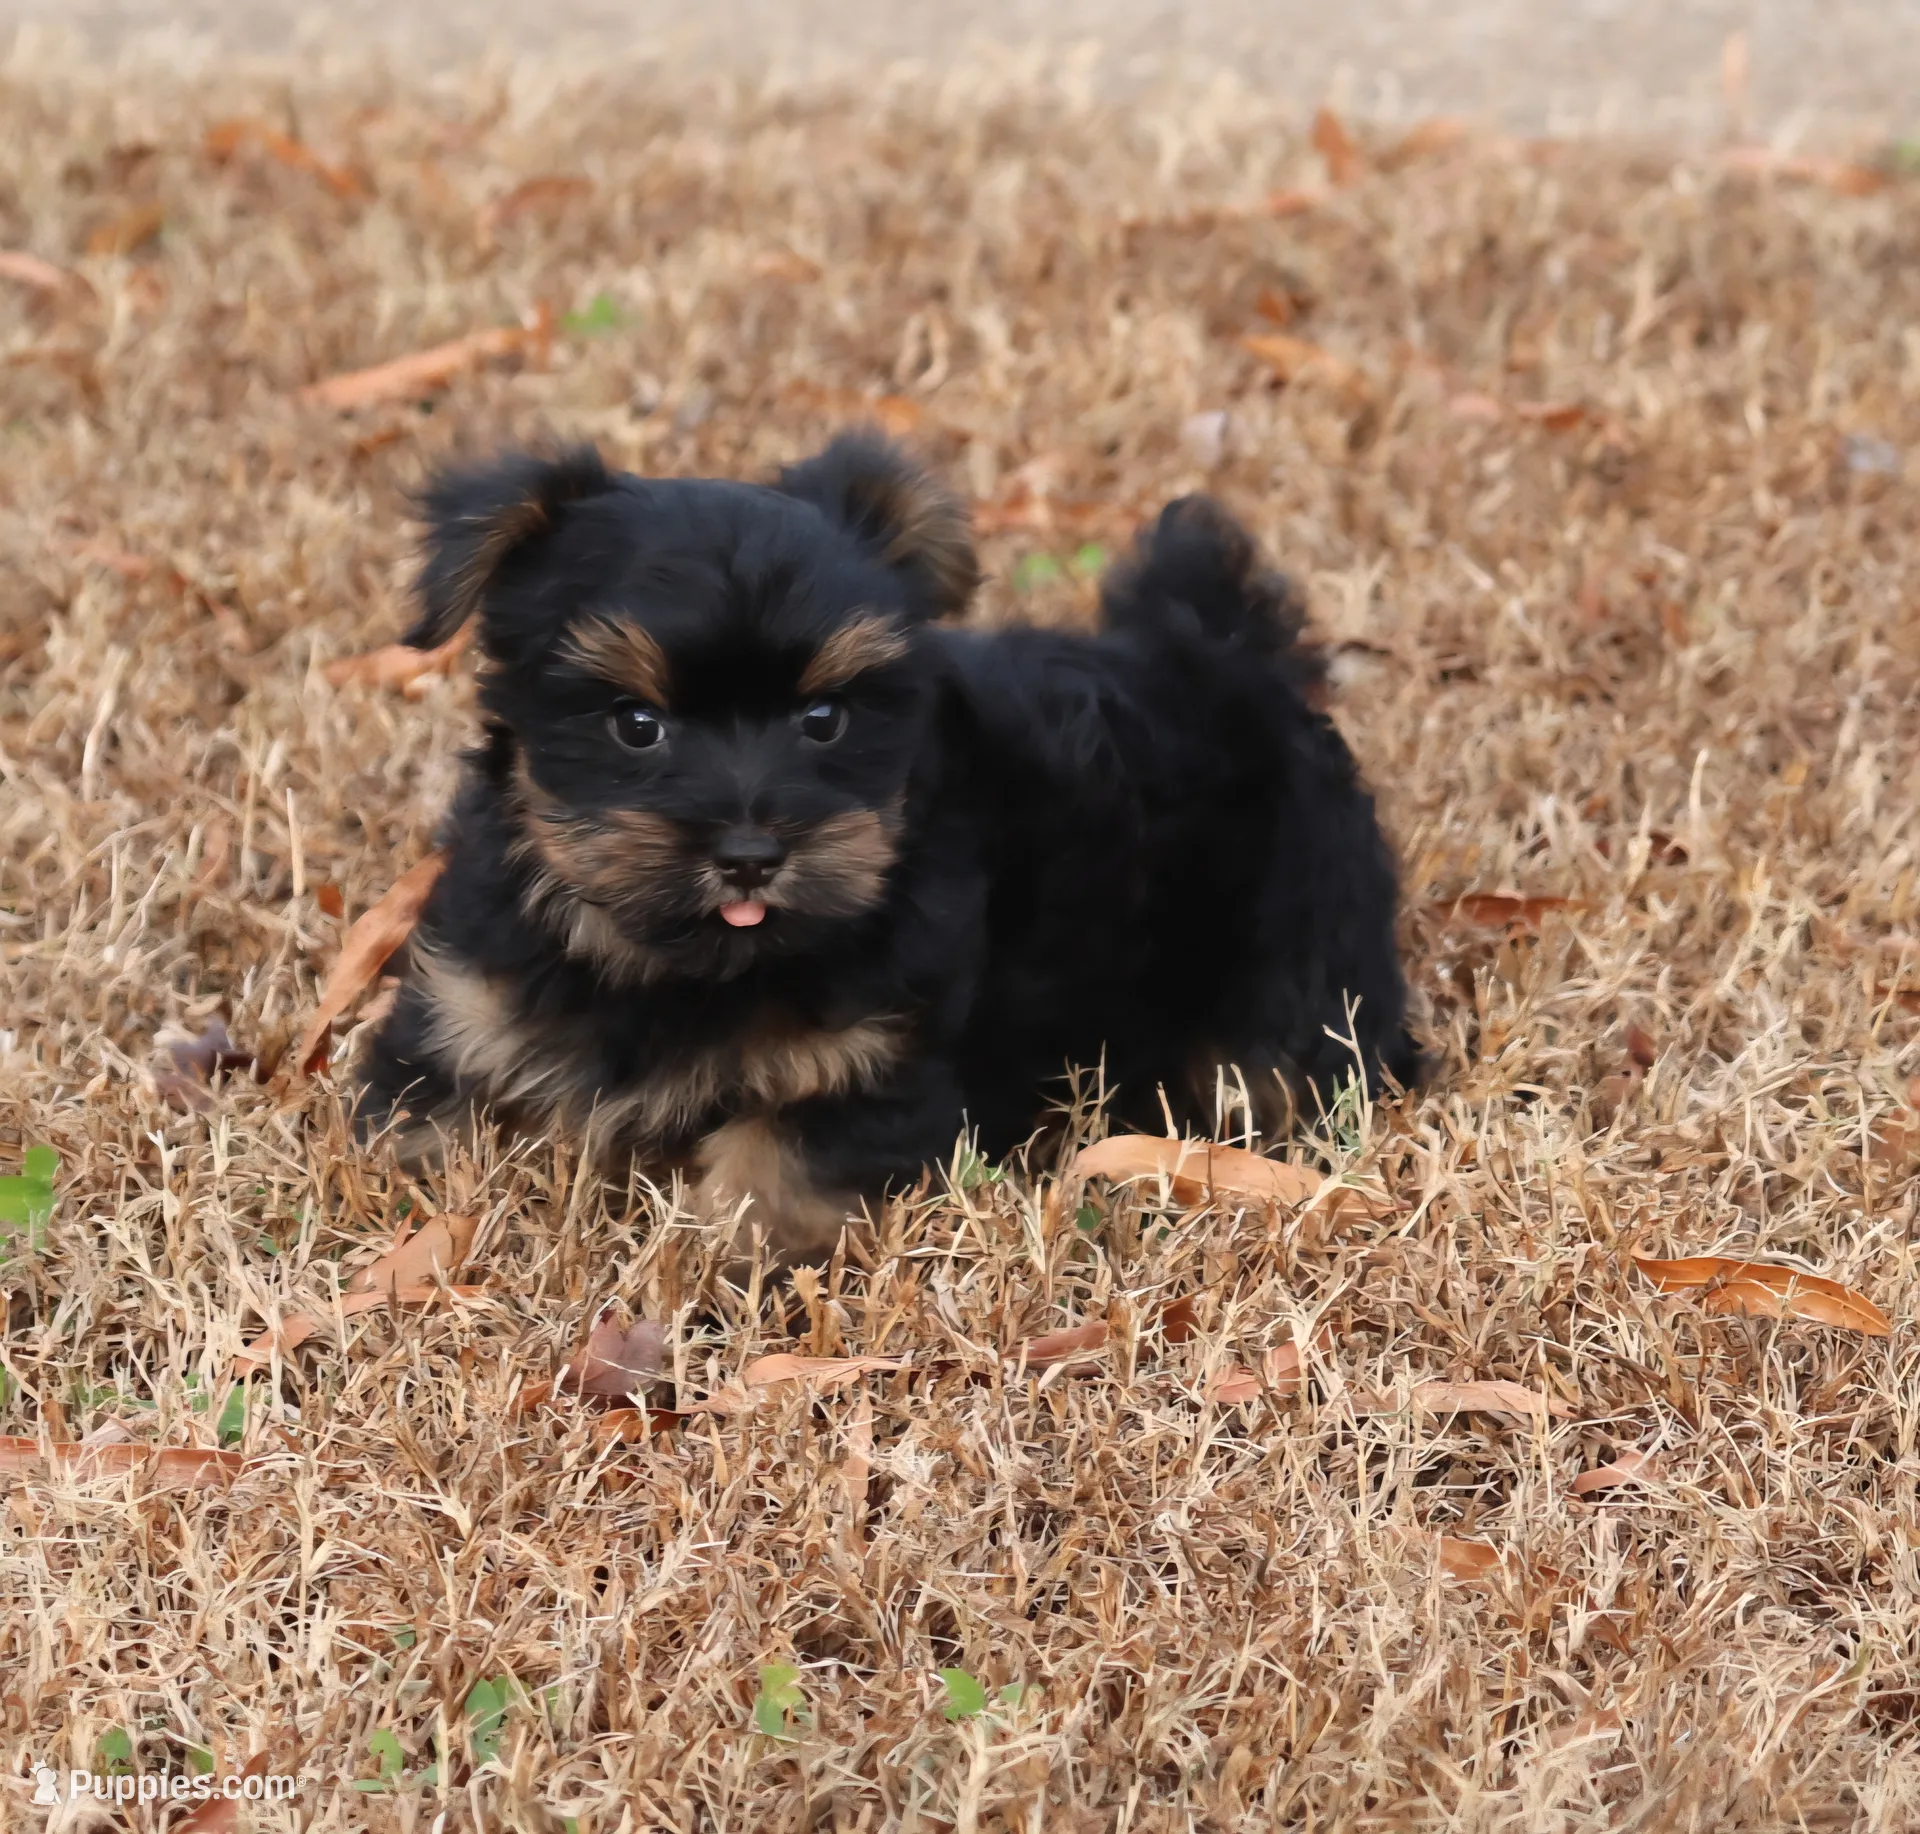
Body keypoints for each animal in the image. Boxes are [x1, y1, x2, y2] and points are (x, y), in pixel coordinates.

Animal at [357, 433, 1418, 1262]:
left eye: (825, 719)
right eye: (634, 725)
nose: (751, 852)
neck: (680, 965)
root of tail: (1225, 660)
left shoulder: (872, 1057)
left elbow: (776, 1172)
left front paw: (715, 1273)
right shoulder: (469, 1002)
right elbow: (418, 1123)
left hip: (1296, 957)